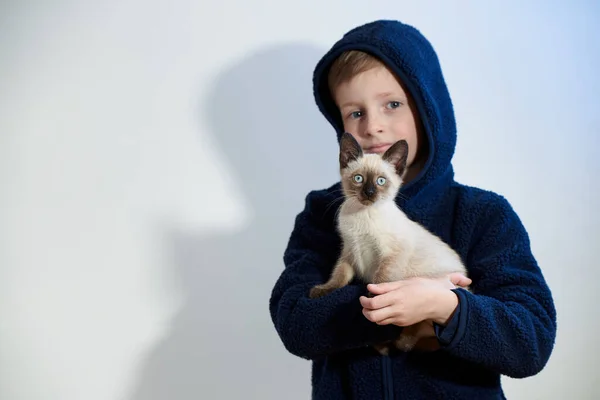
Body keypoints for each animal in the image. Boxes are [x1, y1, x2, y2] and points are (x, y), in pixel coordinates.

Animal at [310, 132, 468, 354]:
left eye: (380, 181)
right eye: (358, 179)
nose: (369, 193)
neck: (361, 215)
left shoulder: (392, 253)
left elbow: (380, 278)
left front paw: (373, 298)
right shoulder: (349, 252)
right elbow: (338, 277)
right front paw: (322, 290)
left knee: (415, 330)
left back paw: (397, 342)